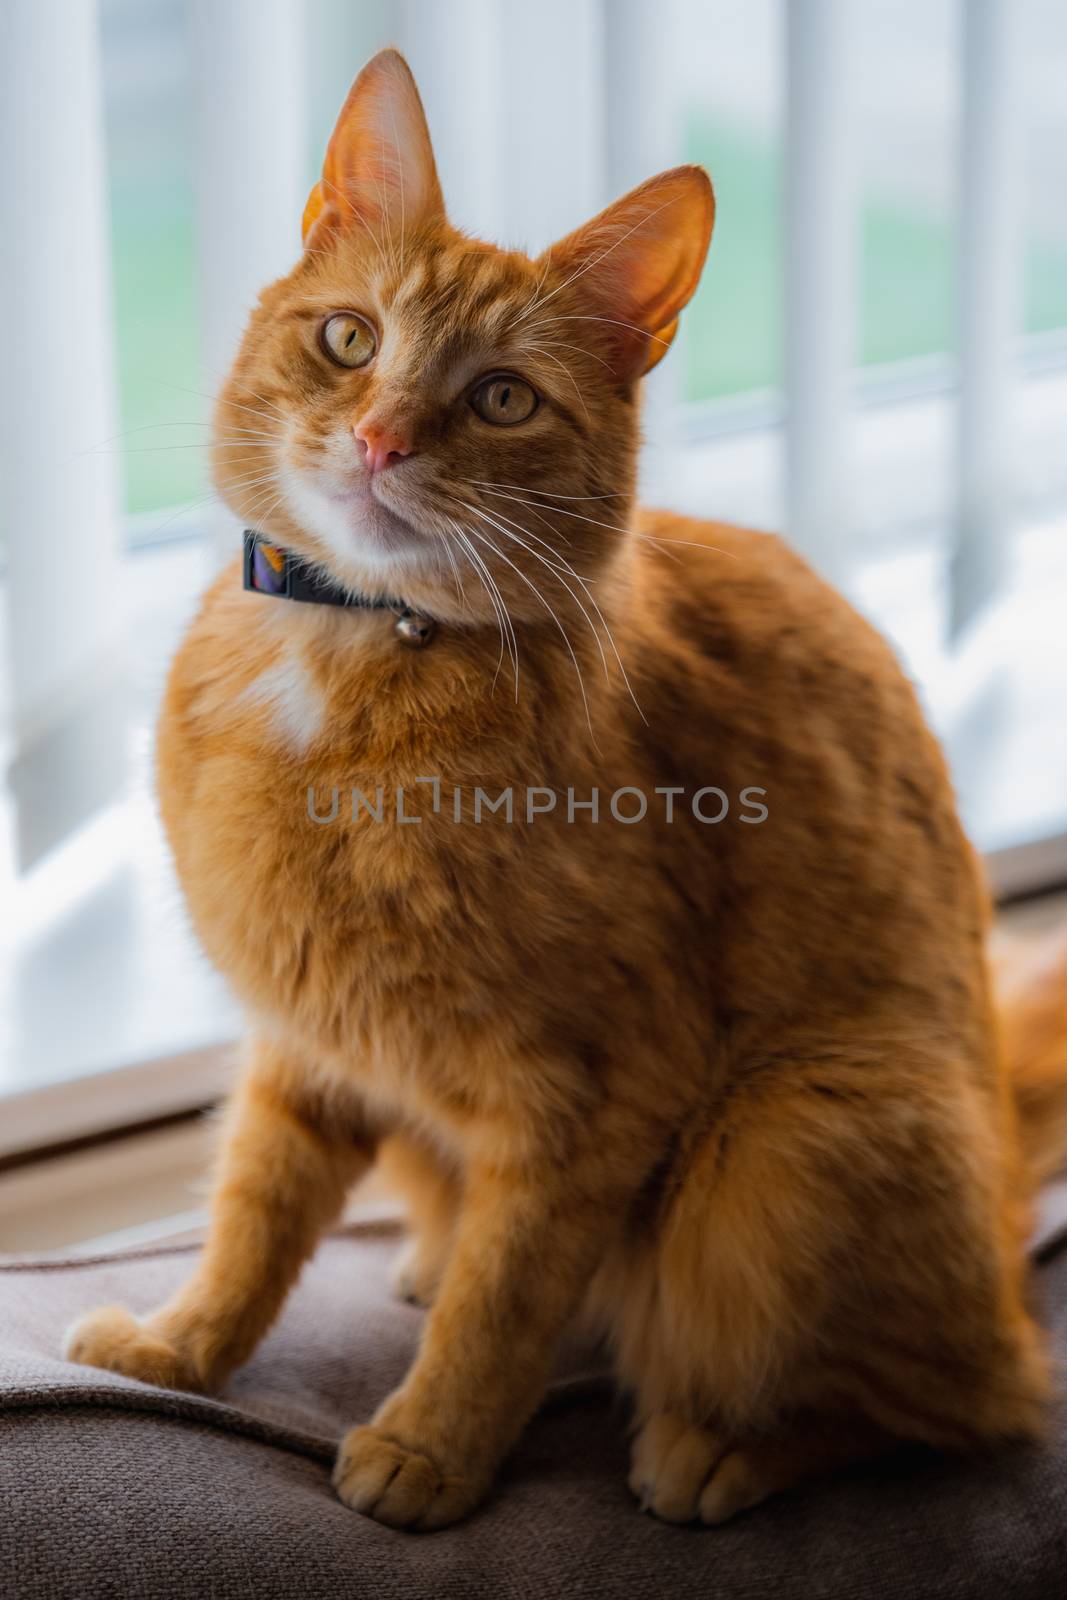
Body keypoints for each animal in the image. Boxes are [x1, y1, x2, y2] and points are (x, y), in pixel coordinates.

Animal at [66, 50, 1067, 1523]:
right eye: (349, 340)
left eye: (500, 398)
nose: (380, 438)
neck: (351, 661)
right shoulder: (301, 1047)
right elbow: (252, 1217)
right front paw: (181, 1343)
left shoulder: (588, 1099)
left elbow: (505, 1297)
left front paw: (430, 1443)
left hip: (783, 1144)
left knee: (971, 1400)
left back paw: (717, 1449)